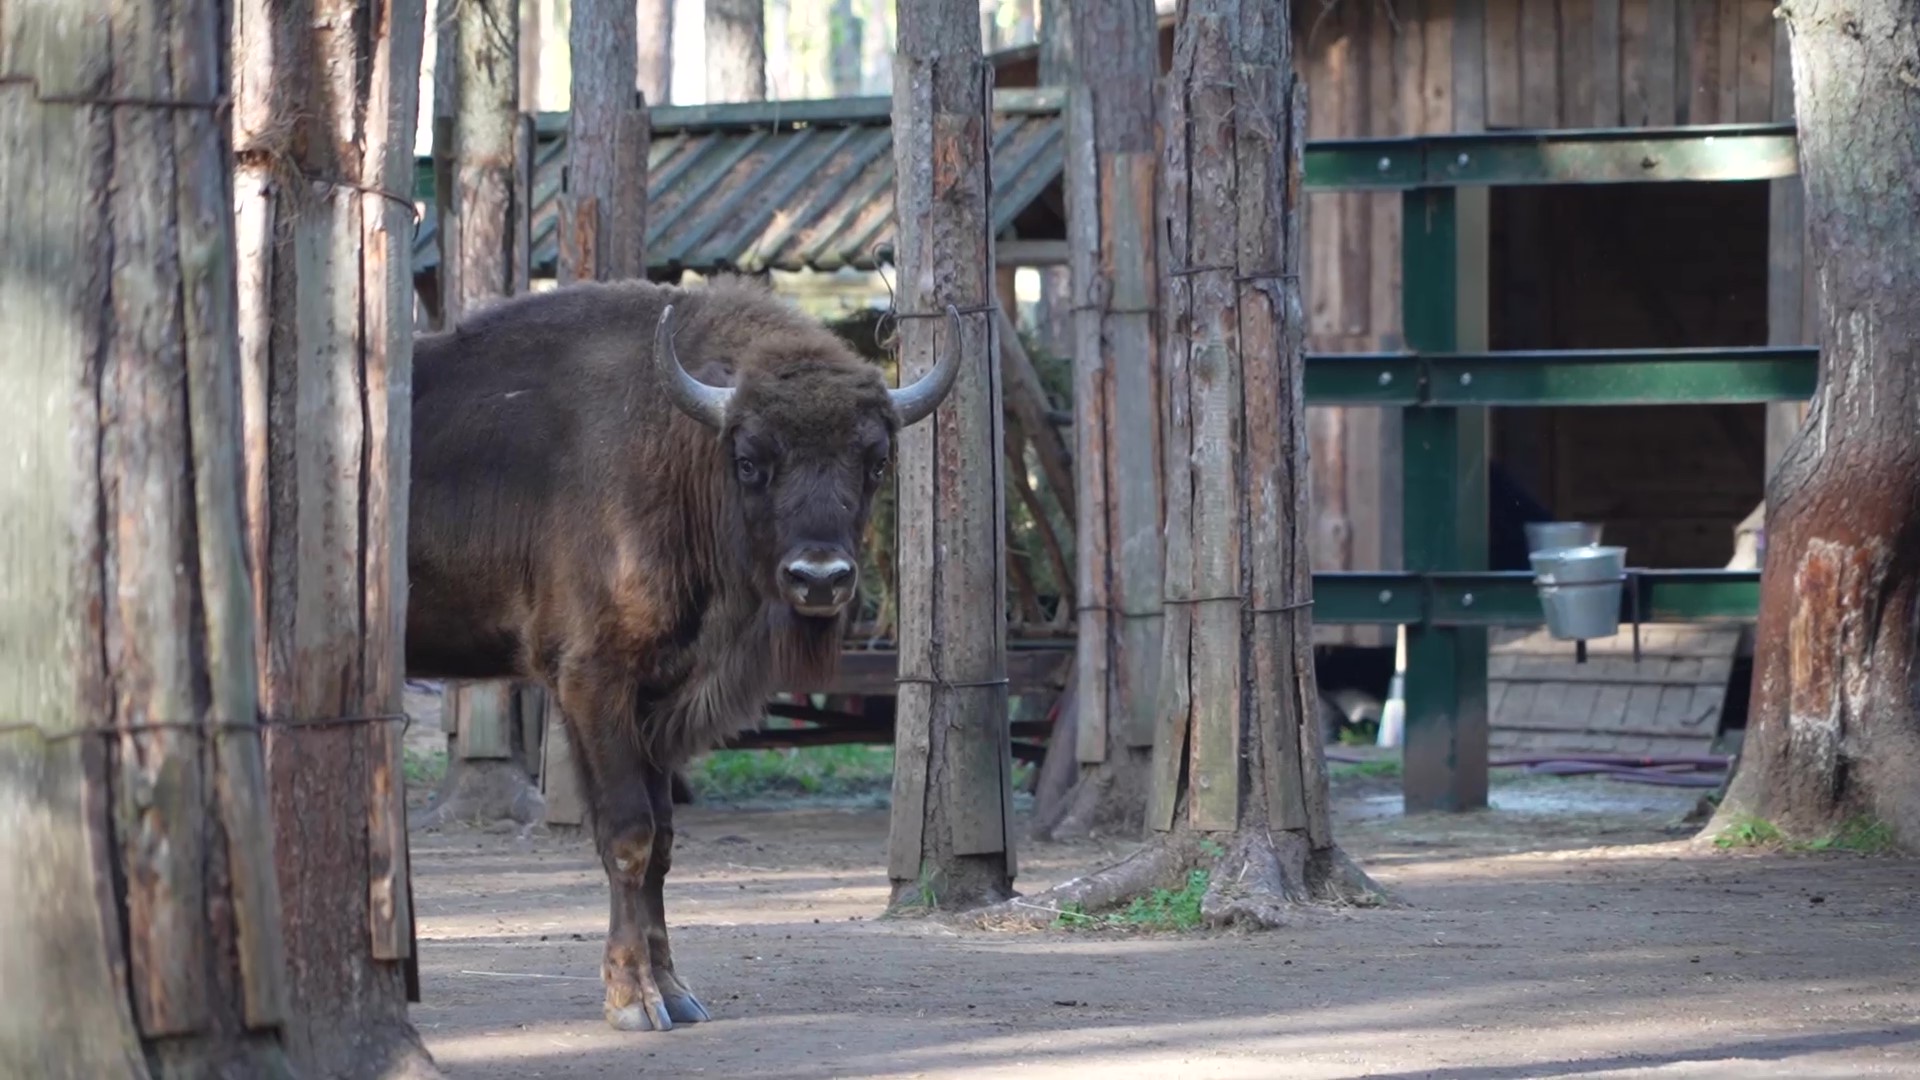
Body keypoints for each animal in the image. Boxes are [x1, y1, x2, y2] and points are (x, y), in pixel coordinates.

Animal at [410, 274, 967, 1022]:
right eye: (751, 461)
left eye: (876, 461)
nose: (820, 578)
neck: (679, 446)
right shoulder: (592, 684)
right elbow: (628, 835)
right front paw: (633, 1001)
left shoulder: (655, 700)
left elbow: (664, 844)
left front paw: (676, 993)